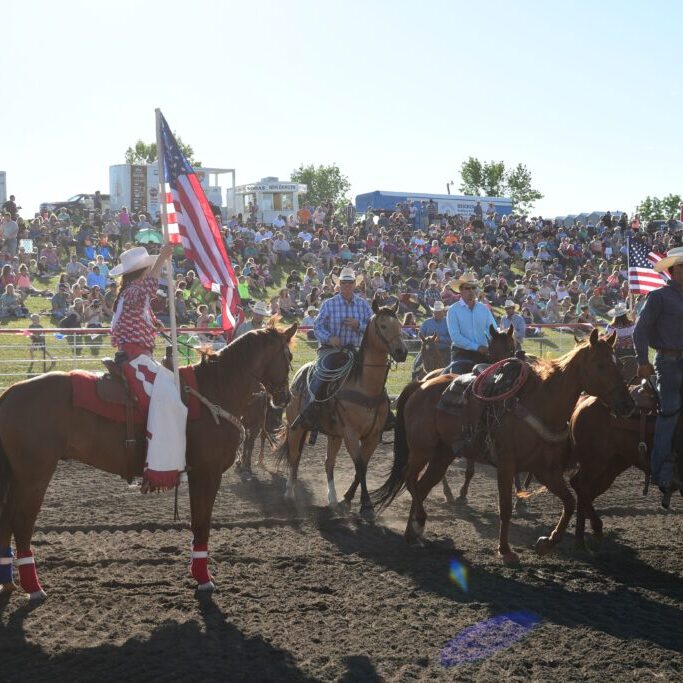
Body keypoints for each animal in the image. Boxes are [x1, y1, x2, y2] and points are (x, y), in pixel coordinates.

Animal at [0, 324, 296, 600]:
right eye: (289, 355)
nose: (286, 398)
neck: (215, 390)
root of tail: (9, 394)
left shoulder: (198, 474)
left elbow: (197, 522)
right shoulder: (207, 473)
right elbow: (202, 523)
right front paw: (203, 579)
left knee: (6, 521)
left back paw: (8, 581)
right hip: (34, 475)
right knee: (22, 523)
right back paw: (33, 587)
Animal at [276, 300, 406, 520]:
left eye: (399, 325)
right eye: (382, 326)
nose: (402, 352)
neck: (365, 387)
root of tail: (298, 376)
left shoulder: (373, 436)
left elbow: (362, 467)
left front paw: (347, 499)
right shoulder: (351, 434)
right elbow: (360, 466)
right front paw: (366, 506)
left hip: (334, 435)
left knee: (328, 463)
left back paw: (332, 498)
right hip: (297, 427)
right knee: (294, 456)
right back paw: (289, 493)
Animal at [372, 328, 632, 564]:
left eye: (620, 364)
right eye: (601, 365)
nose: (627, 405)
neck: (541, 403)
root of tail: (419, 385)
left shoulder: (544, 470)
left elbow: (569, 502)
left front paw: (547, 543)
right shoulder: (507, 465)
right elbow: (505, 508)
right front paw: (506, 550)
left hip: (442, 455)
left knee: (423, 485)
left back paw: (413, 532)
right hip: (421, 450)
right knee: (409, 479)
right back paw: (419, 522)